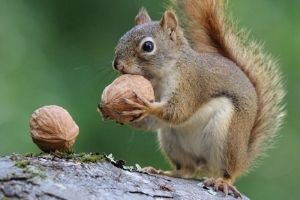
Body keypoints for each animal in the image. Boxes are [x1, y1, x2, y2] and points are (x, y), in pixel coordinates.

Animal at [110, 0, 286, 197]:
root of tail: (243, 156)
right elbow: (154, 122)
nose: (117, 64)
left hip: (228, 138)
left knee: (229, 171)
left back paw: (223, 181)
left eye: (148, 46)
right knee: (187, 169)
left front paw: (146, 106)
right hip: (171, 141)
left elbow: (178, 111)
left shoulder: (191, 85)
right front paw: (111, 111)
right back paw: (163, 172)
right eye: (121, 40)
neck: (163, 74)